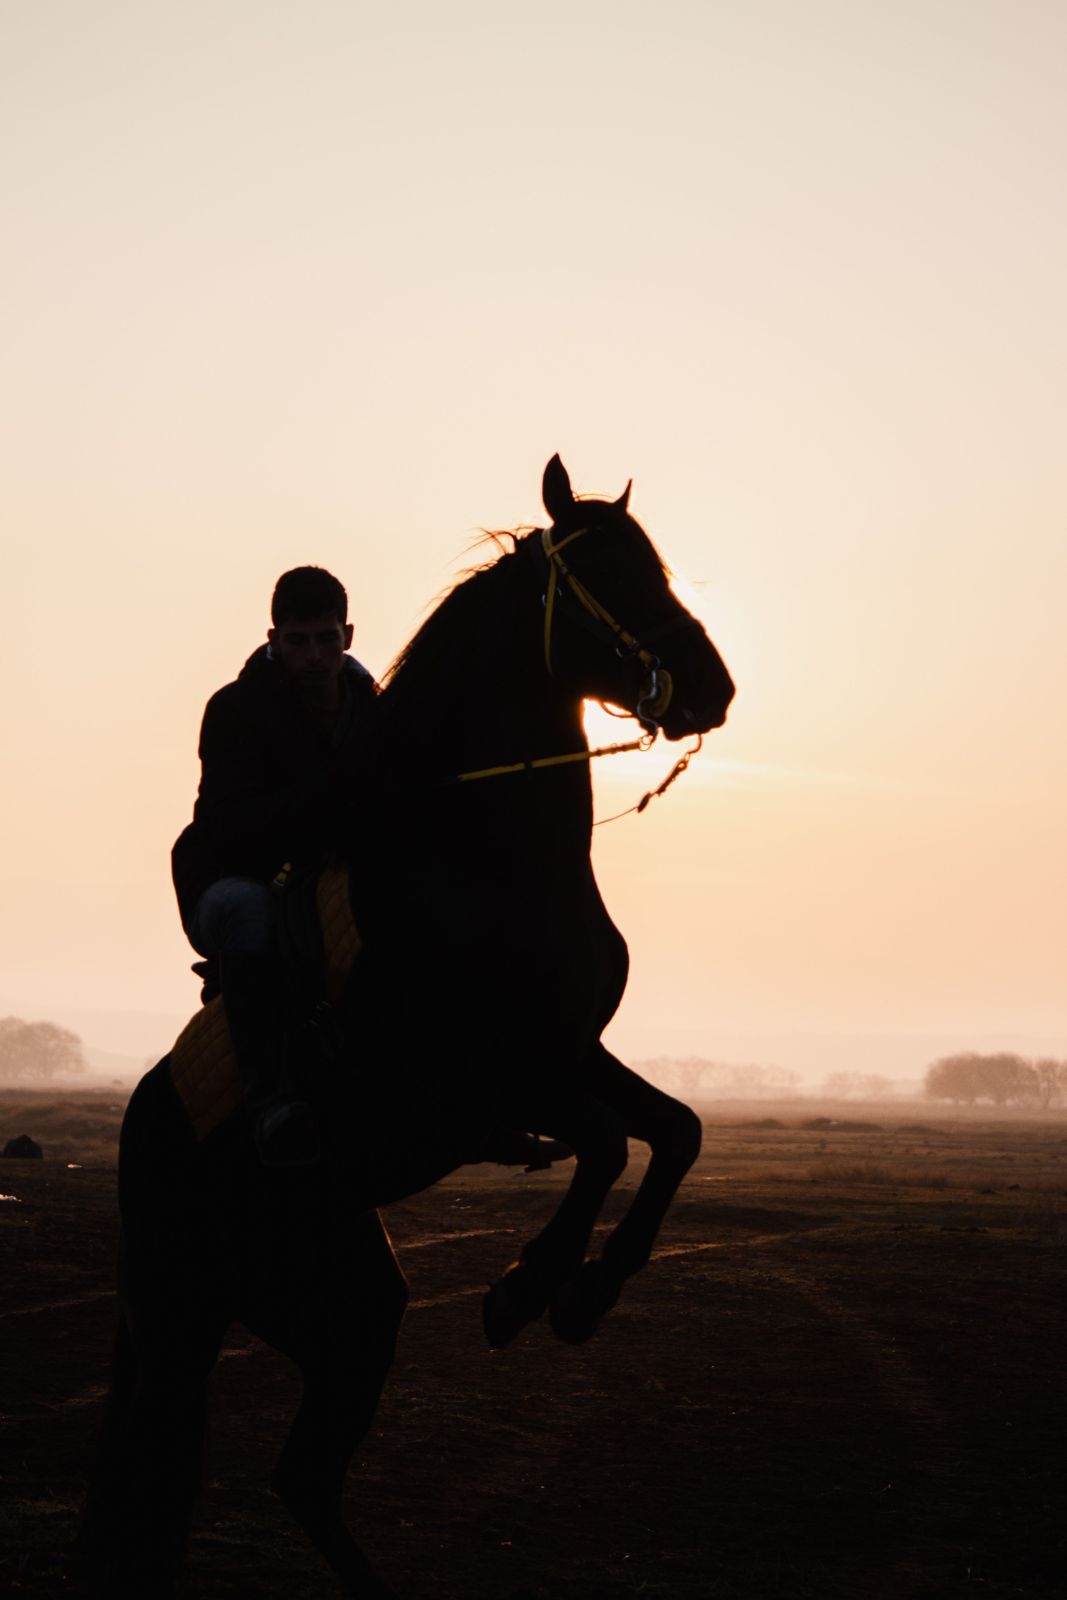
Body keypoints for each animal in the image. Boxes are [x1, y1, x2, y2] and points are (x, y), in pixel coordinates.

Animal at [78, 455, 735, 1598]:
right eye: (607, 576)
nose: (712, 688)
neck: (485, 859)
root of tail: (147, 1126)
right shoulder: (472, 1083)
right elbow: (608, 1140)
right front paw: (526, 1289)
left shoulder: (567, 1054)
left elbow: (674, 1130)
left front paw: (582, 1296)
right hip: (183, 1314)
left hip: (348, 1308)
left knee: (298, 1476)